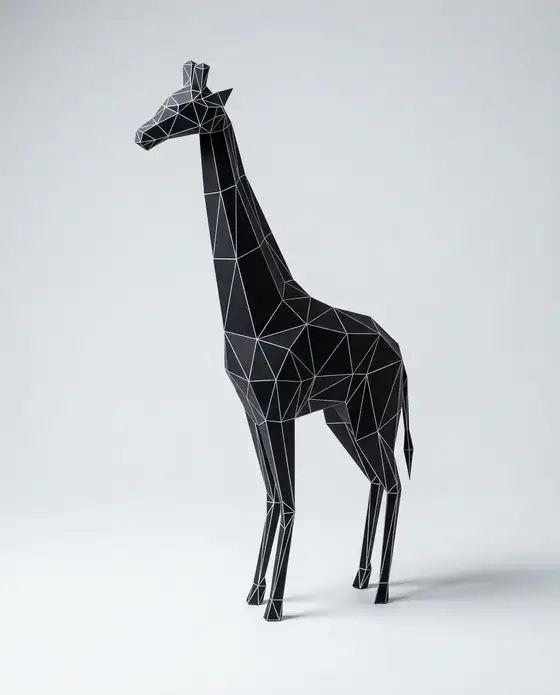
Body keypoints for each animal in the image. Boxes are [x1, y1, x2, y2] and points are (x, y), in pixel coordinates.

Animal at [135, 61, 414, 622]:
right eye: (165, 100)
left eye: (187, 107)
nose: (142, 135)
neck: (258, 309)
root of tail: (402, 355)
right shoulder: (253, 411)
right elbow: (269, 497)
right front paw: (253, 592)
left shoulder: (278, 408)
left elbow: (287, 499)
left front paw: (275, 605)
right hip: (344, 418)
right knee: (377, 480)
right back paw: (360, 576)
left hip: (374, 416)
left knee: (394, 482)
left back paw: (381, 590)